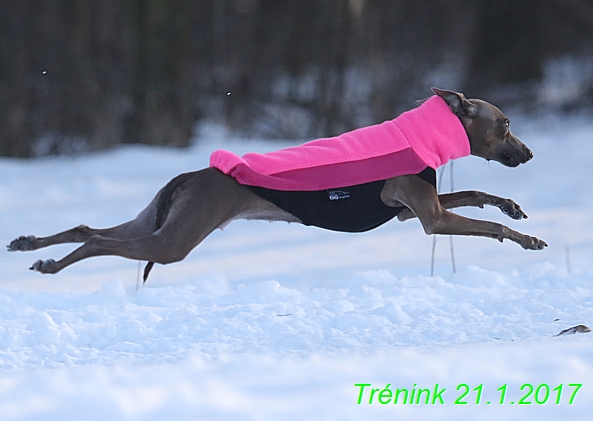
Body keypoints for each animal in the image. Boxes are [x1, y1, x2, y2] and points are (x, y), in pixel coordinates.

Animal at [8, 87, 544, 280]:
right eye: (506, 123)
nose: (530, 154)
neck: (423, 133)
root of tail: (191, 175)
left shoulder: (410, 208)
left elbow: (478, 196)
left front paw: (512, 207)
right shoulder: (428, 216)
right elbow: (487, 227)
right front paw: (527, 238)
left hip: (156, 223)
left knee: (86, 229)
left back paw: (32, 246)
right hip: (174, 240)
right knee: (100, 242)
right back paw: (50, 264)